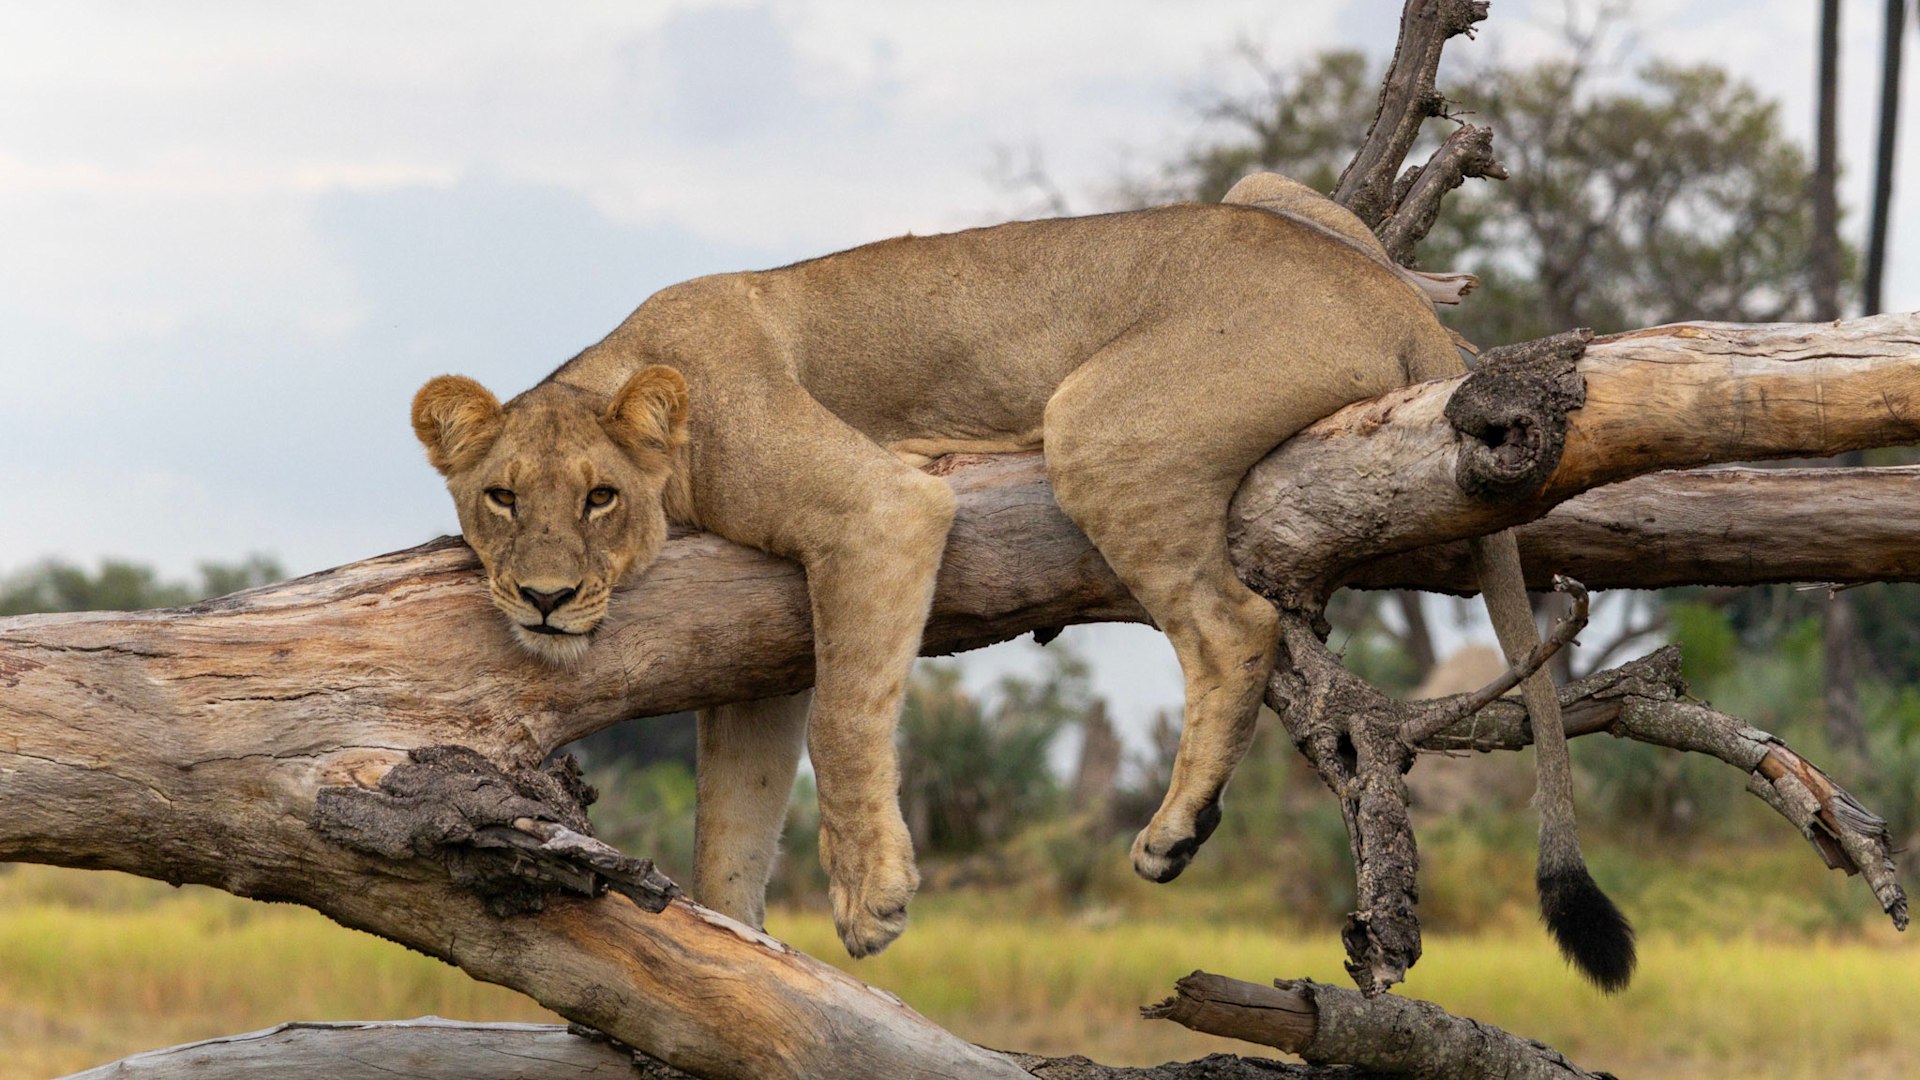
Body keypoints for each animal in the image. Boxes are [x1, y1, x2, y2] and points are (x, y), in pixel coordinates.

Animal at [411, 173, 1634, 988]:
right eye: (500, 499)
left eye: (599, 499)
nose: (543, 599)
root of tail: (1396, 308)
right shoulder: (755, 662)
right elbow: (734, 824)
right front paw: (738, 957)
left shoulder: (877, 511)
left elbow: (846, 724)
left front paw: (870, 897)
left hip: (1095, 419)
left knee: (1233, 623)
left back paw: (1174, 831)